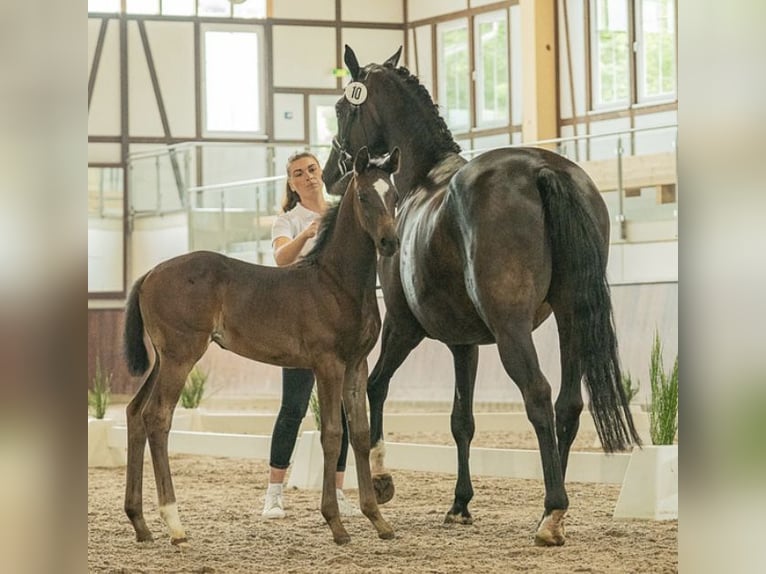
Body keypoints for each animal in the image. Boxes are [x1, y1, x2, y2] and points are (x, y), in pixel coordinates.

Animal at [121, 146, 402, 548]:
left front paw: (377, 519)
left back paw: (140, 523)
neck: (337, 282)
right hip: (180, 356)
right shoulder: (328, 364)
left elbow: (360, 435)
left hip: (162, 359)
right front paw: (335, 524)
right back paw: (174, 524)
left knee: (133, 413)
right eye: (364, 196)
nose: (389, 243)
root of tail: (148, 274)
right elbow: (333, 435)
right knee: (156, 418)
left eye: (394, 195)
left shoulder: (356, 365)